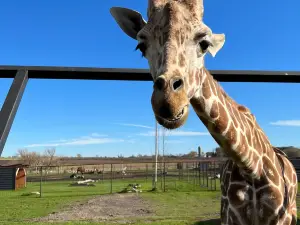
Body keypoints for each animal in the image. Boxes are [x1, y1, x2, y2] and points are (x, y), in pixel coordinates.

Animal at [110, 0, 298, 224]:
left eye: (204, 44)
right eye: (141, 46)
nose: (168, 101)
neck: (252, 167)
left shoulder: (281, 218)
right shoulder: (230, 216)